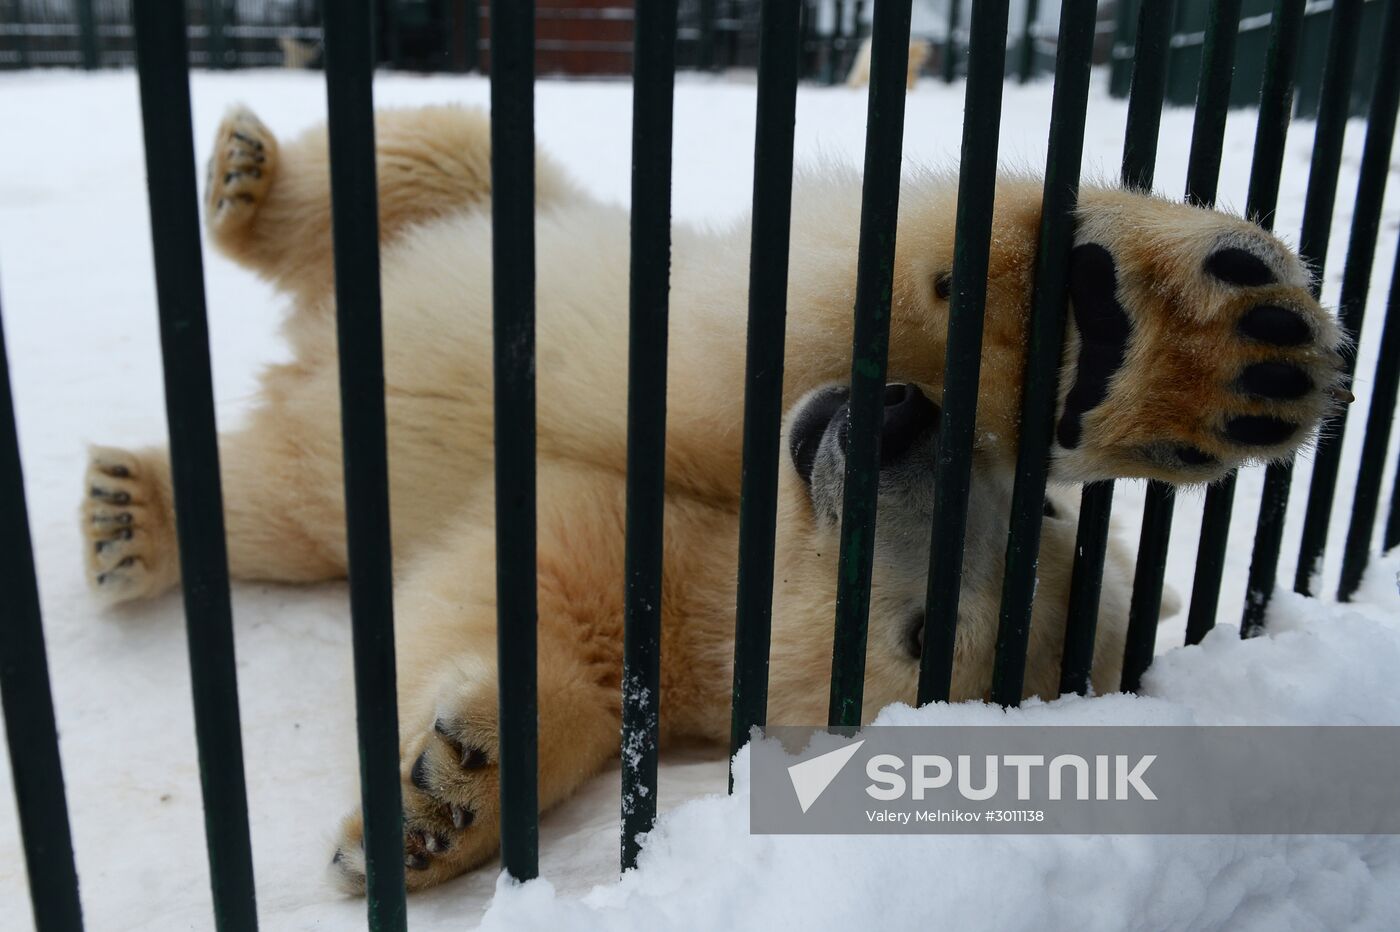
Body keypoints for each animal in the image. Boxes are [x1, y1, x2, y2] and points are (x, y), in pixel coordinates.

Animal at [81, 104, 1343, 891]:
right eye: (1043, 511)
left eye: (928, 636)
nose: (902, 425)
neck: (735, 539)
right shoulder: (714, 412)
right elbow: (763, 322)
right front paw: (1155, 338)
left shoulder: (643, 585)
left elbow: (503, 603)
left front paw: (442, 802)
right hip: (484, 211)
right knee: (435, 166)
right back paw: (248, 178)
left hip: (318, 493)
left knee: (282, 502)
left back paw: (130, 515)